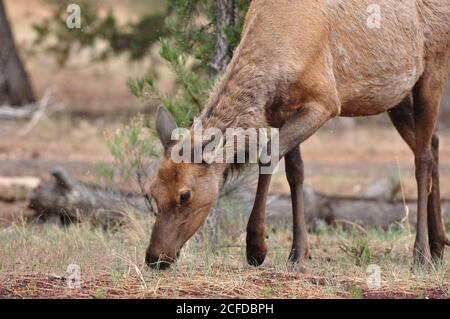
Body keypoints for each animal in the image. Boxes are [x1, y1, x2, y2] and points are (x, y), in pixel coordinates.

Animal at [145, 0, 450, 272]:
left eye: (185, 195)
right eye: (152, 192)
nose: (154, 258)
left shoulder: (325, 101)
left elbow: (269, 155)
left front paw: (257, 247)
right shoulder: (282, 111)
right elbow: (295, 172)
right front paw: (297, 254)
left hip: (433, 67)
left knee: (422, 158)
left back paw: (421, 254)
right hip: (395, 94)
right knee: (432, 145)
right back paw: (438, 247)